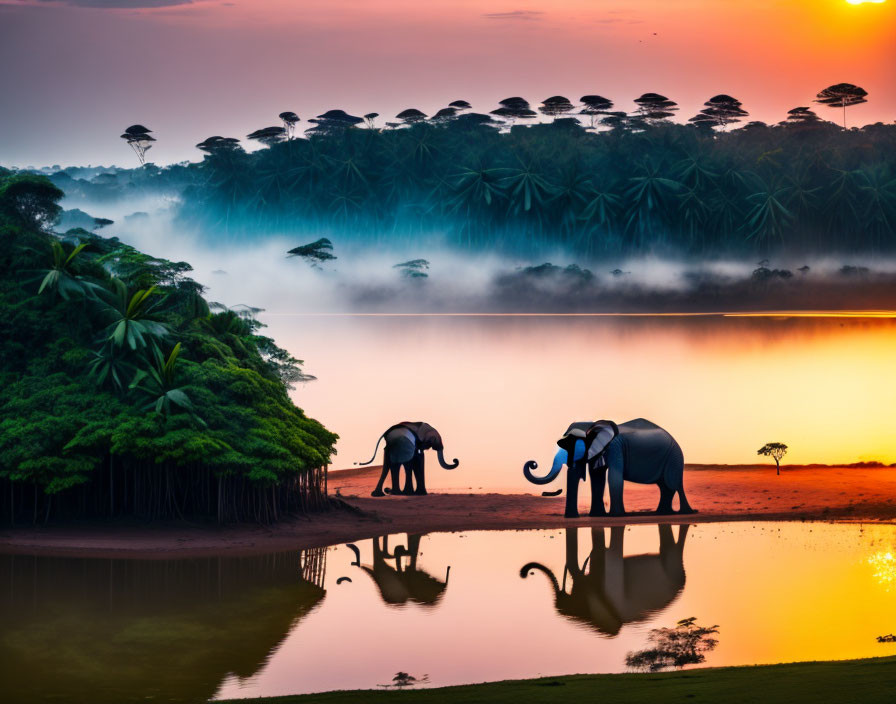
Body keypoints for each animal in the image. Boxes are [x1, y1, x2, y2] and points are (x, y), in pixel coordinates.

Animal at [520, 418, 696, 516]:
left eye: (572, 444)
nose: (533, 463)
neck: (593, 425)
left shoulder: (615, 448)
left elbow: (614, 478)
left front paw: (616, 516)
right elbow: (597, 477)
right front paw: (597, 516)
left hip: (674, 457)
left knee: (673, 484)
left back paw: (684, 512)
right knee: (665, 486)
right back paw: (662, 513)